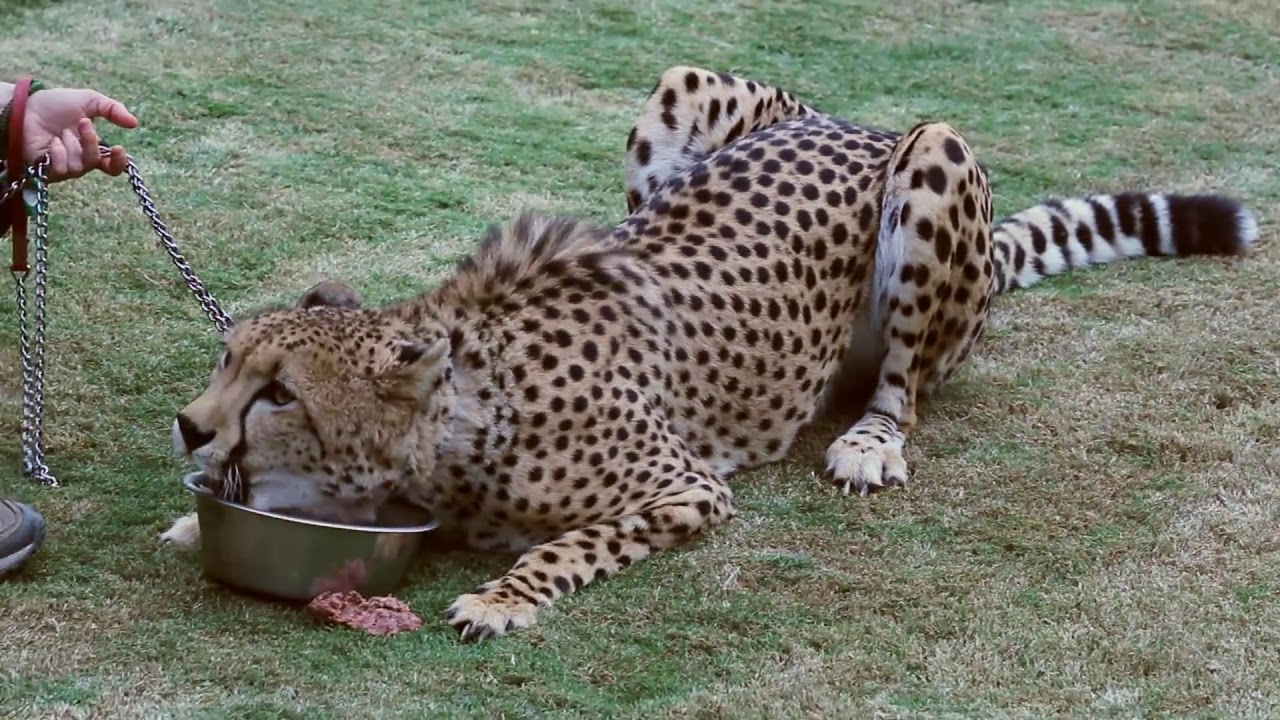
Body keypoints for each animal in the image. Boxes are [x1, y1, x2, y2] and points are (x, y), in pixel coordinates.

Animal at [162, 67, 1259, 638]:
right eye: (228, 362)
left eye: (280, 395)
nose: (189, 425)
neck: (469, 413)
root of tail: (850, 121)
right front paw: (192, 517)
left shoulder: (690, 486)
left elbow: (568, 544)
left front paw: (501, 595)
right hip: (682, 92)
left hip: (933, 157)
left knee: (902, 389)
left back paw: (870, 441)